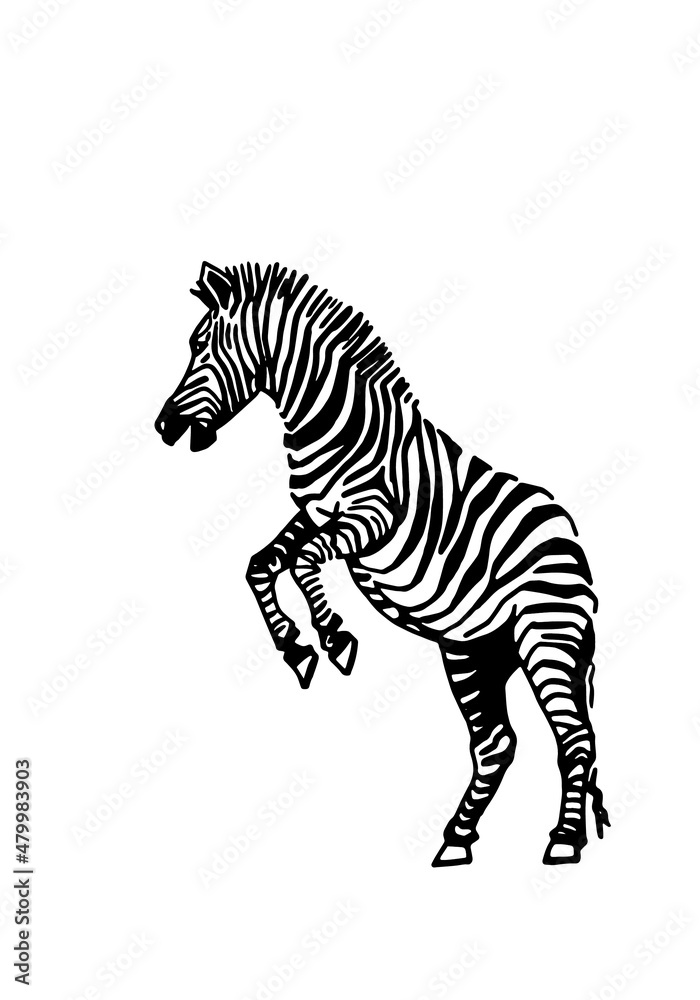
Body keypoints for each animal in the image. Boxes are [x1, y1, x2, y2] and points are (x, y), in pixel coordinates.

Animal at [155, 261, 610, 867]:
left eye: (202, 345)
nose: (162, 427)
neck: (332, 421)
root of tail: (571, 535)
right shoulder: (313, 511)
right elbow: (263, 563)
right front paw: (298, 649)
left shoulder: (373, 518)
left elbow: (305, 562)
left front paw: (334, 638)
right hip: (473, 651)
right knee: (497, 743)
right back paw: (458, 840)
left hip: (547, 635)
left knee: (573, 739)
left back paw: (562, 841)